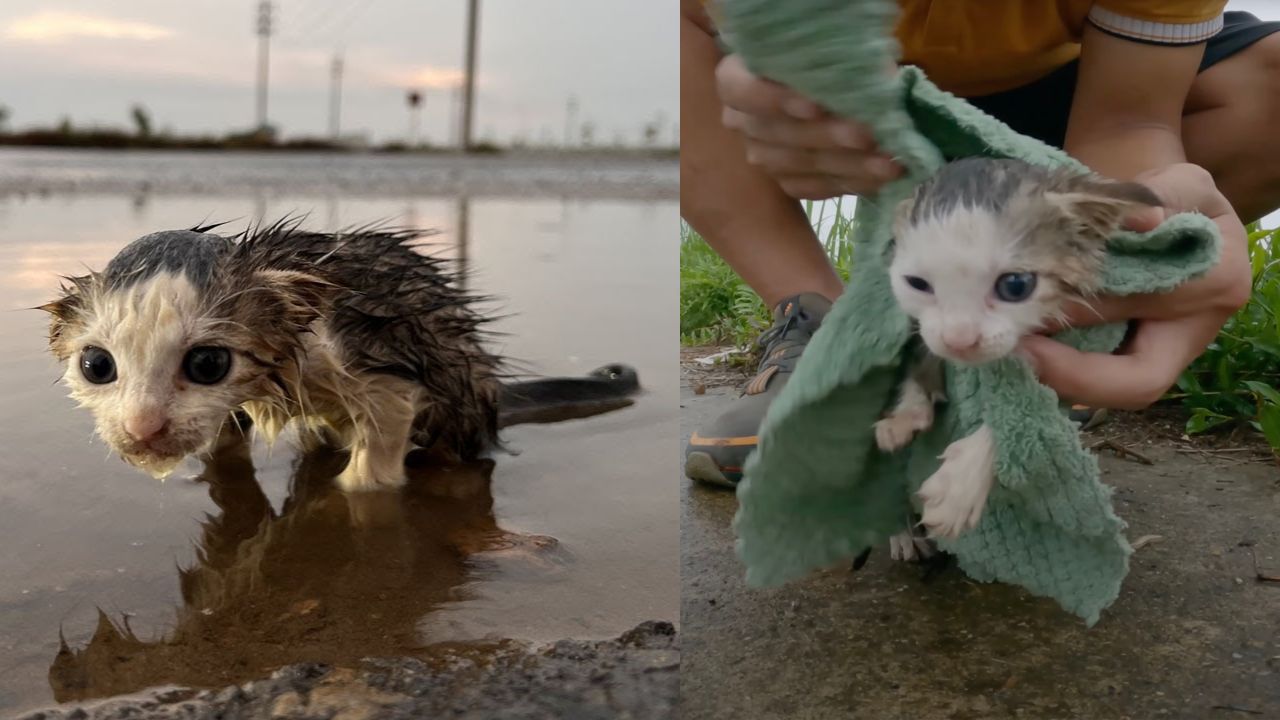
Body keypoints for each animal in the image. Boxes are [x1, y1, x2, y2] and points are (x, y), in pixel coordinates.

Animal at [880, 156, 1162, 556]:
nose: (959, 340)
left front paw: (960, 487)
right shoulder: (924, 331)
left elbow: (1026, 409)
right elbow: (922, 351)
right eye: (917, 284)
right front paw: (906, 413)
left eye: (1015, 285)